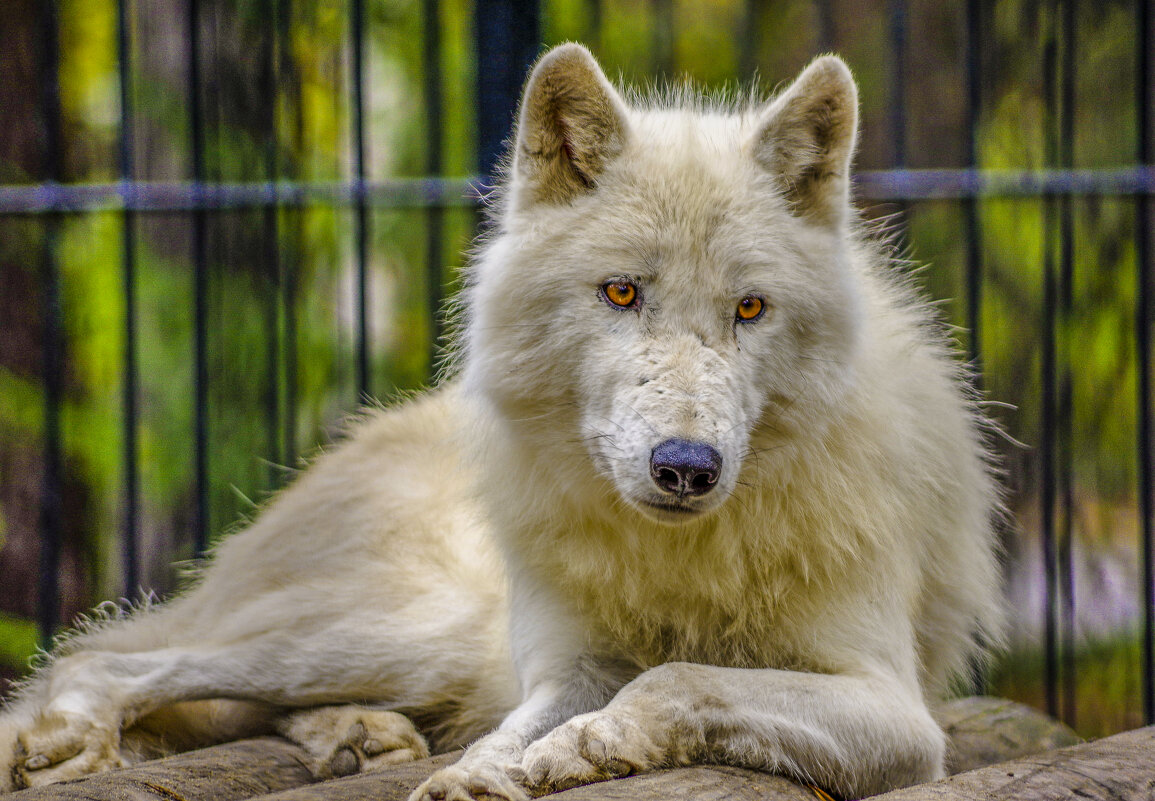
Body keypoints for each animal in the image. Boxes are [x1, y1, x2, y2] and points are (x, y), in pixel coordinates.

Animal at [0, 45, 1002, 801]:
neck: (680, 562)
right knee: (113, 661)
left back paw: (358, 736)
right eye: (621, 292)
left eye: (749, 309)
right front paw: (493, 769)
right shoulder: (564, 664)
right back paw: (79, 734)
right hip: (412, 628)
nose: (686, 466)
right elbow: (554, 712)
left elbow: (673, 675)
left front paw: (580, 747)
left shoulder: (897, 712)